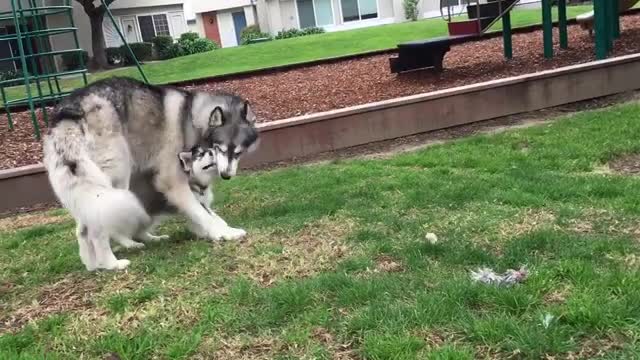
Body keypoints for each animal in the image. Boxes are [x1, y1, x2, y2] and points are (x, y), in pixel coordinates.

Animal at [43, 78, 260, 270]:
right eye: (220, 149)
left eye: (238, 152)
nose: (226, 175)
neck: (190, 118)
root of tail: (69, 110)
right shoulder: (172, 182)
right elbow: (202, 213)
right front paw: (222, 234)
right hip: (116, 179)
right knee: (98, 229)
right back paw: (113, 263)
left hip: (93, 188)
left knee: (83, 229)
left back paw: (96, 264)